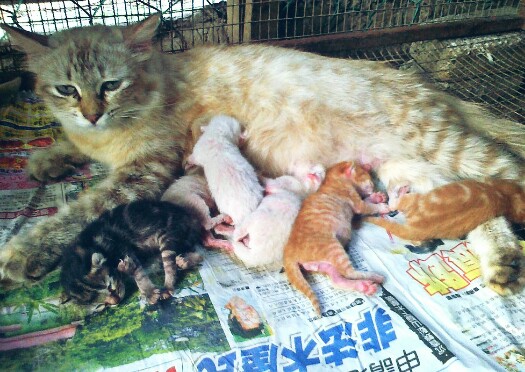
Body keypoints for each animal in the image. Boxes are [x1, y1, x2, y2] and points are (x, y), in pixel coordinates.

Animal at [59, 201, 202, 308]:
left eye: (110, 287)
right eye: (101, 305)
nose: (116, 301)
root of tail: (191, 218)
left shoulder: (122, 248)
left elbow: (139, 273)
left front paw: (149, 293)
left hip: (166, 236)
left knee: (171, 264)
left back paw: (167, 286)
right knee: (198, 254)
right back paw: (184, 261)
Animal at [282, 161, 388, 316]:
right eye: (367, 176)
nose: (373, 187)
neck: (331, 180)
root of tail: (288, 255)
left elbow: (367, 201)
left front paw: (377, 197)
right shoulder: (356, 201)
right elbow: (367, 206)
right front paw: (382, 206)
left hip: (323, 264)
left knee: (337, 280)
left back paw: (364, 287)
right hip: (333, 248)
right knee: (349, 272)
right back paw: (375, 277)